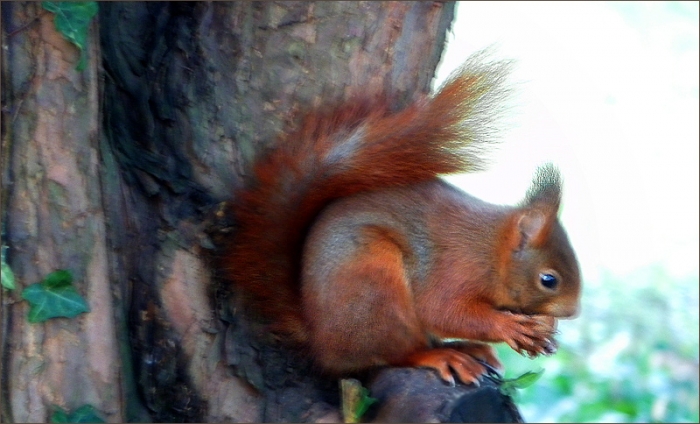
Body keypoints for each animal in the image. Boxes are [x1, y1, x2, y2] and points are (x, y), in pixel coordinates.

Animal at [223, 51, 581, 386]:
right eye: (549, 280)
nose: (573, 312)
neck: (491, 250)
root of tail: (321, 341)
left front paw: (545, 329)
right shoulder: (455, 269)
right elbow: (444, 310)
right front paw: (508, 326)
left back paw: (464, 348)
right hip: (373, 284)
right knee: (393, 353)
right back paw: (440, 356)